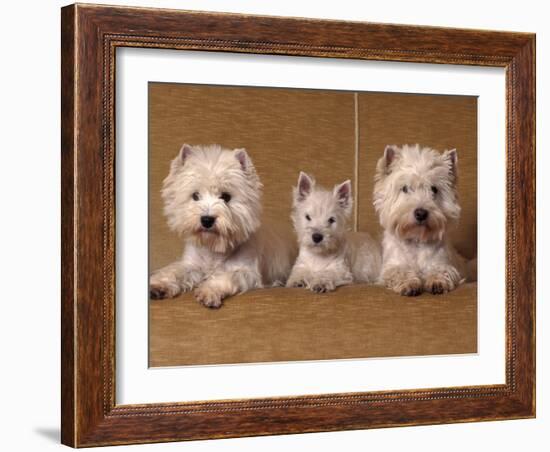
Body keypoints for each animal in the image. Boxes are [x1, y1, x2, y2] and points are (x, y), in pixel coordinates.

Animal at [149, 144, 298, 308]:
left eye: (226, 197)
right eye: (195, 196)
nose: (207, 220)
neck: (214, 248)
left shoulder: (247, 272)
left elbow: (226, 276)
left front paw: (208, 291)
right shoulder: (191, 264)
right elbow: (175, 271)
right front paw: (159, 285)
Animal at [376, 143, 478, 294]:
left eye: (434, 189)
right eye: (405, 188)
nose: (421, 213)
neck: (417, 240)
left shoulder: (444, 263)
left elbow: (441, 270)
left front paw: (437, 282)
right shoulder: (392, 266)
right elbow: (399, 271)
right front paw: (409, 284)